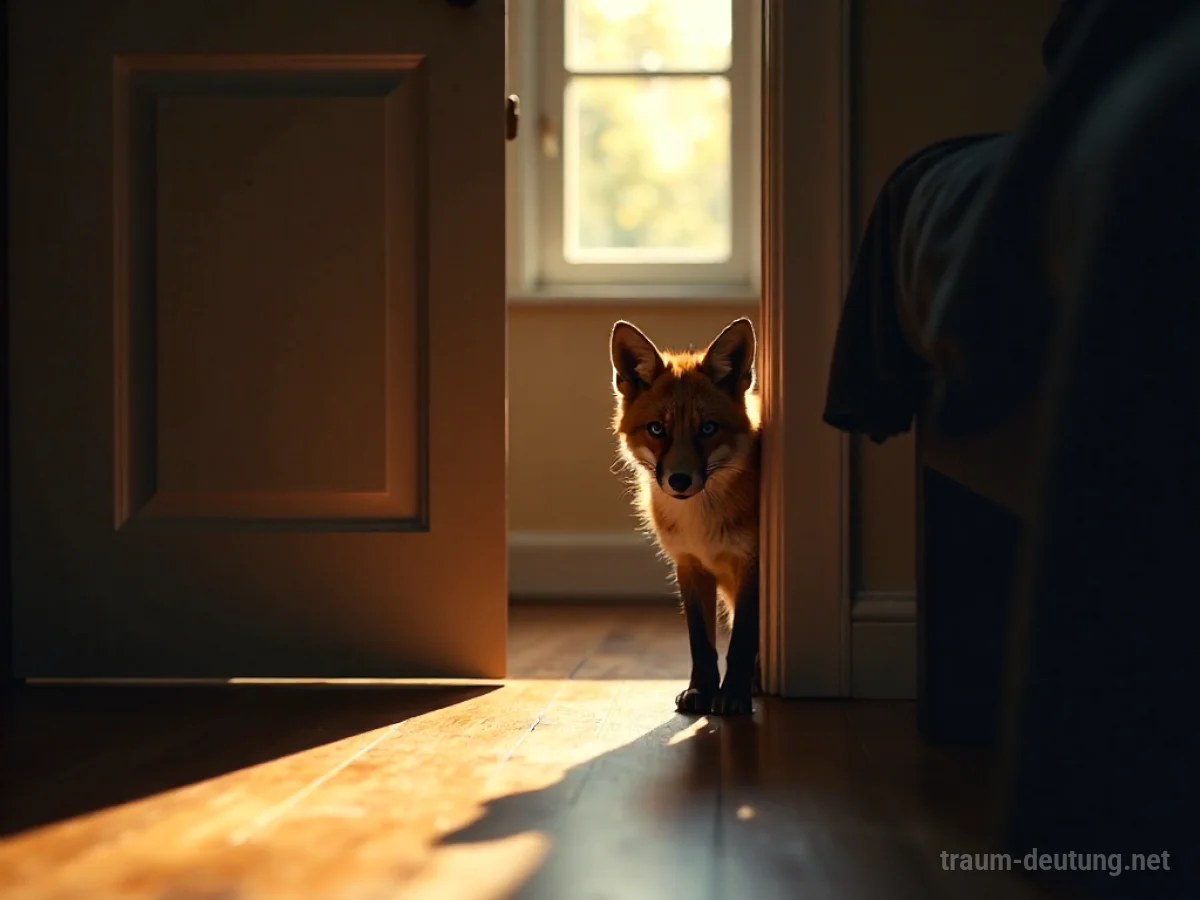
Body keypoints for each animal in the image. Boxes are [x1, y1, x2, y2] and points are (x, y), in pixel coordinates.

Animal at [609, 317, 762, 716]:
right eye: (657, 428)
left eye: (707, 428)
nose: (679, 480)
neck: (701, 527)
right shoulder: (690, 564)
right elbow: (701, 643)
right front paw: (701, 691)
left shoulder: (751, 566)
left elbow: (741, 641)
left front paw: (733, 695)